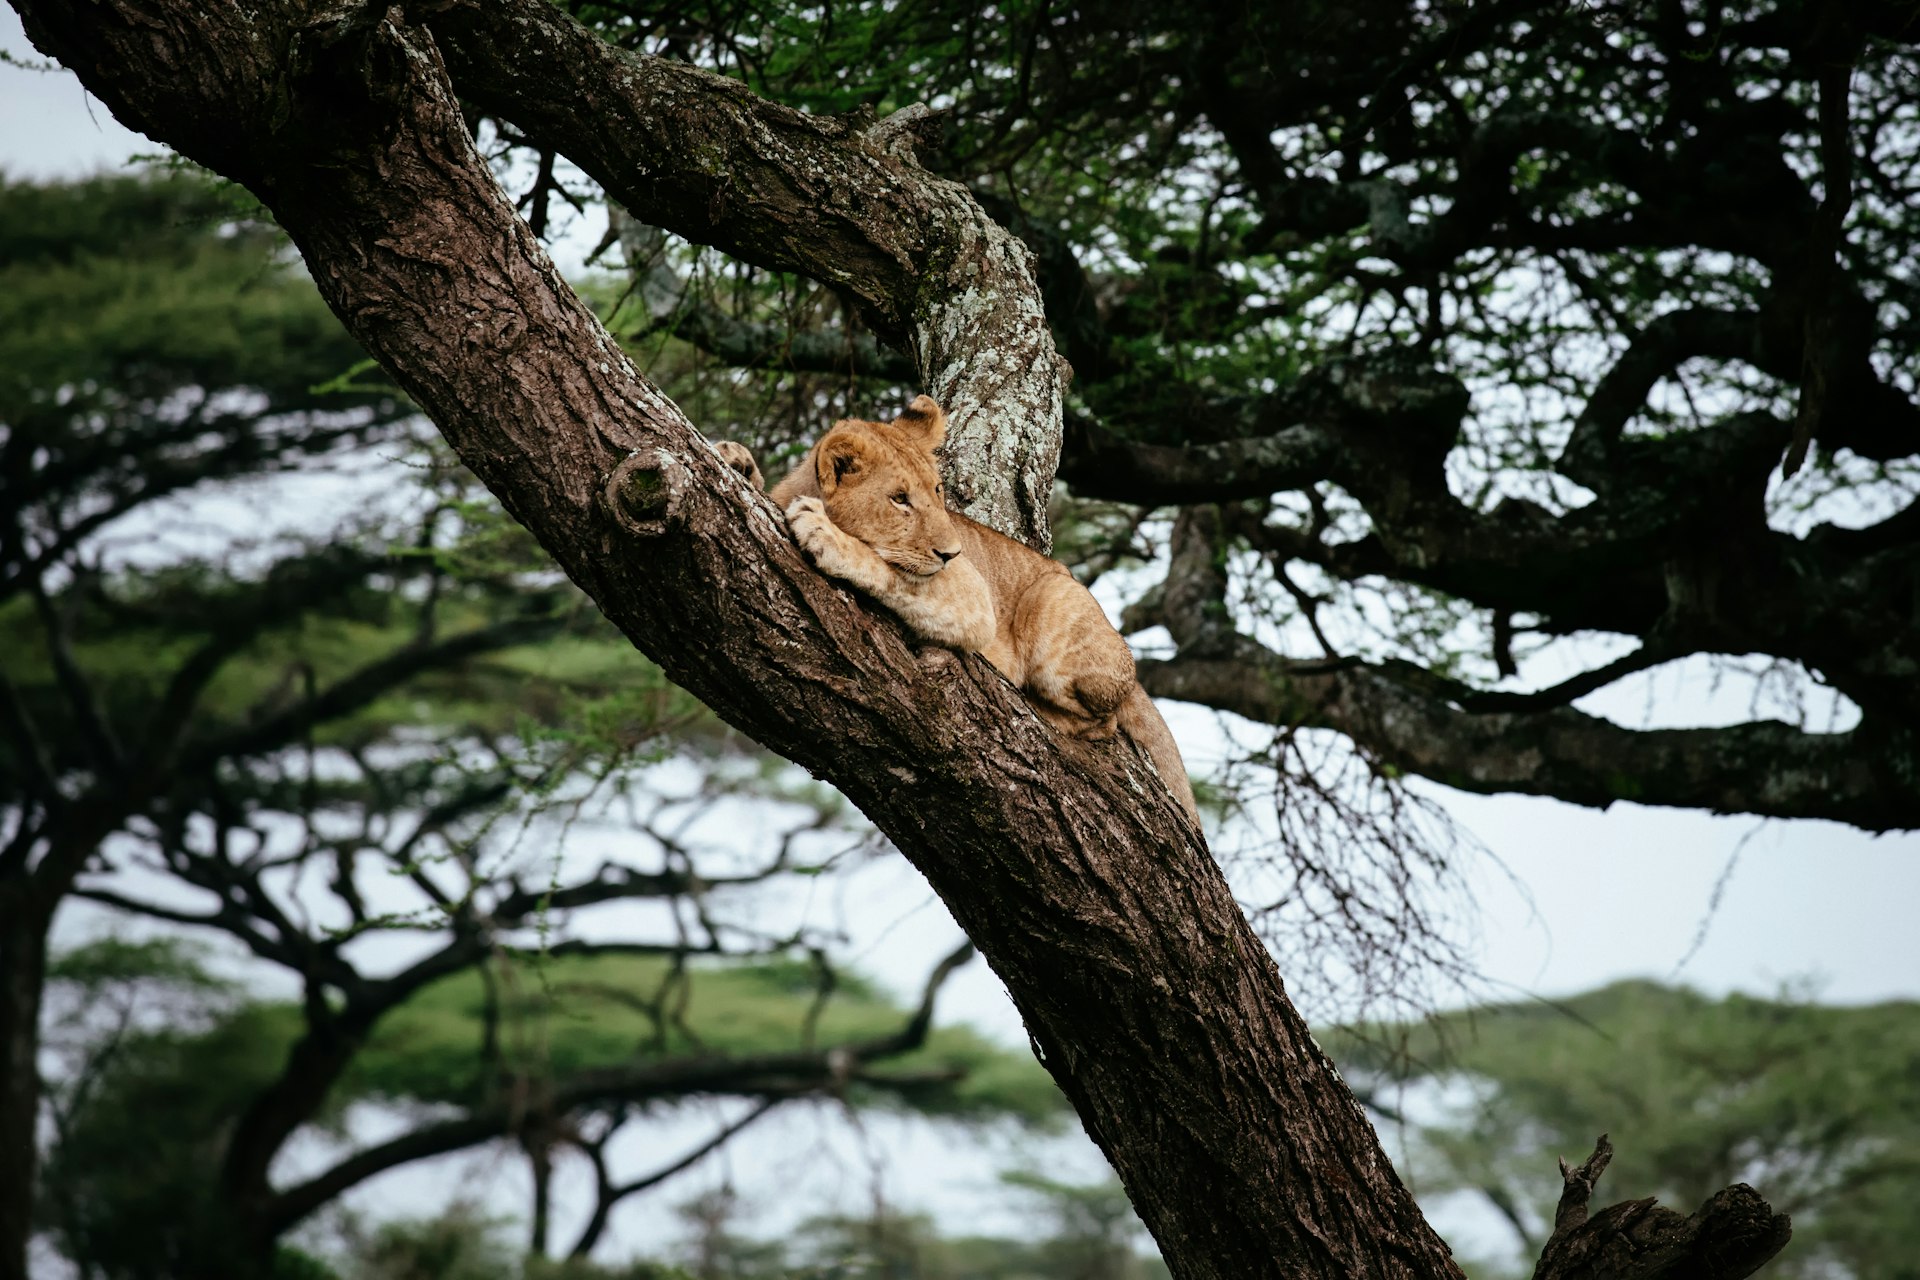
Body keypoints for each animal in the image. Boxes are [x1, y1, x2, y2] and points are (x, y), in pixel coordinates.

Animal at [718, 395, 1198, 825]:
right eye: (900, 499)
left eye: (937, 490)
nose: (952, 552)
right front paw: (735, 457)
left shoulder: (971, 594)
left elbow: (891, 570)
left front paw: (826, 535)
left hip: (1053, 599)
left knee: (1105, 721)